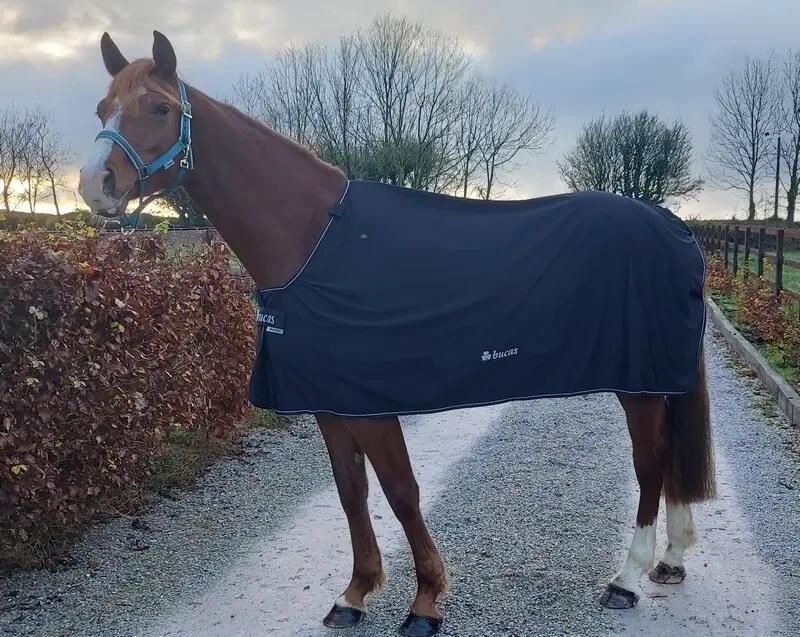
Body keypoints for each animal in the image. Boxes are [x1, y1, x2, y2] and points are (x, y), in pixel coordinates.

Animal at [77, 31, 716, 637]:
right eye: (102, 108)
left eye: (159, 108)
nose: (94, 184)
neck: (314, 242)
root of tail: (672, 226)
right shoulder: (330, 403)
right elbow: (352, 492)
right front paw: (354, 593)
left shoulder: (370, 406)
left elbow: (402, 491)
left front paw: (426, 601)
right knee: (669, 458)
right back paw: (672, 558)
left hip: (638, 383)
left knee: (650, 462)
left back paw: (627, 578)